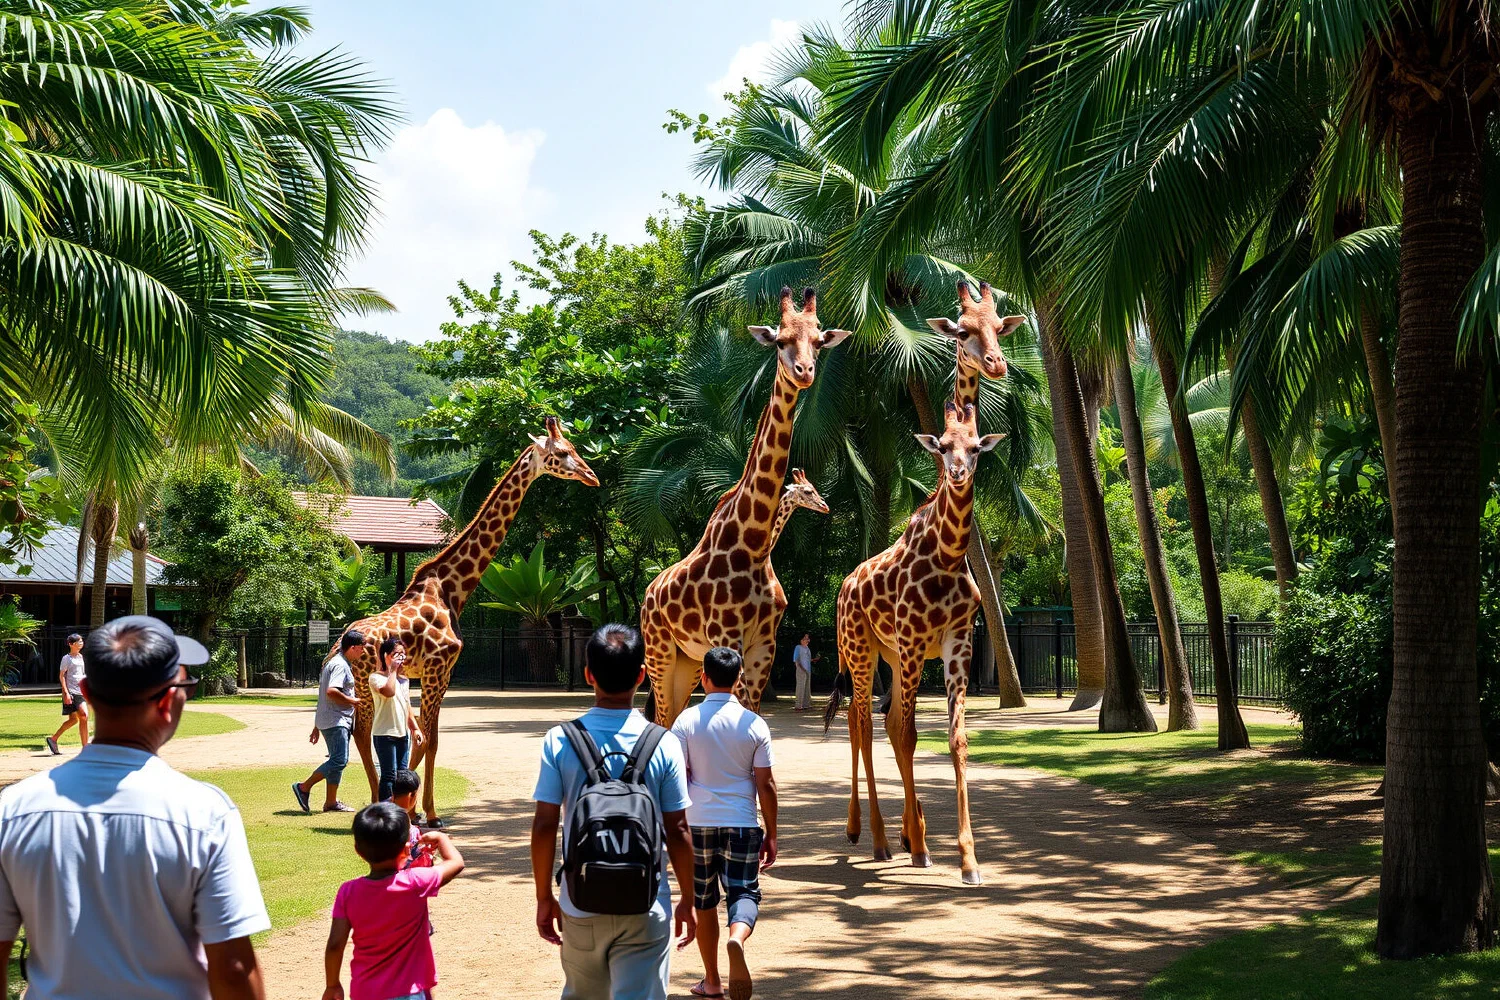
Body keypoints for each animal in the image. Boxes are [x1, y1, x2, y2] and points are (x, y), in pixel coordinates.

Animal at [335, 416, 599, 823]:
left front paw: (414, 808)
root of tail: (336, 645)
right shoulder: (439, 668)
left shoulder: (432, 673)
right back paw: (376, 800)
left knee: (363, 732)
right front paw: (428, 812)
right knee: (362, 732)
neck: (452, 589)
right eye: (562, 452)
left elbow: (423, 738)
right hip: (365, 681)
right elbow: (432, 739)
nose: (592, 476)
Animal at [640, 286, 849, 726]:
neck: (753, 544)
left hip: (688, 660)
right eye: (780, 341)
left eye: (819, 341)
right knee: (662, 717)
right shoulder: (727, 636)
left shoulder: (764, 647)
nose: (805, 372)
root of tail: (648, 592)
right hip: (660, 651)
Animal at [833, 401, 1003, 885]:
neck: (946, 557)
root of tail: (844, 587)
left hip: (889, 656)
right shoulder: (912, 640)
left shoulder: (957, 643)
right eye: (942, 446)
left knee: (880, 721)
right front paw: (923, 848)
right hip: (862, 650)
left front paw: (968, 860)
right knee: (862, 723)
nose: (959, 472)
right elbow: (907, 736)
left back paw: (903, 833)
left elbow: (956, 739)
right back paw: (874, 836)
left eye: (975, 447)